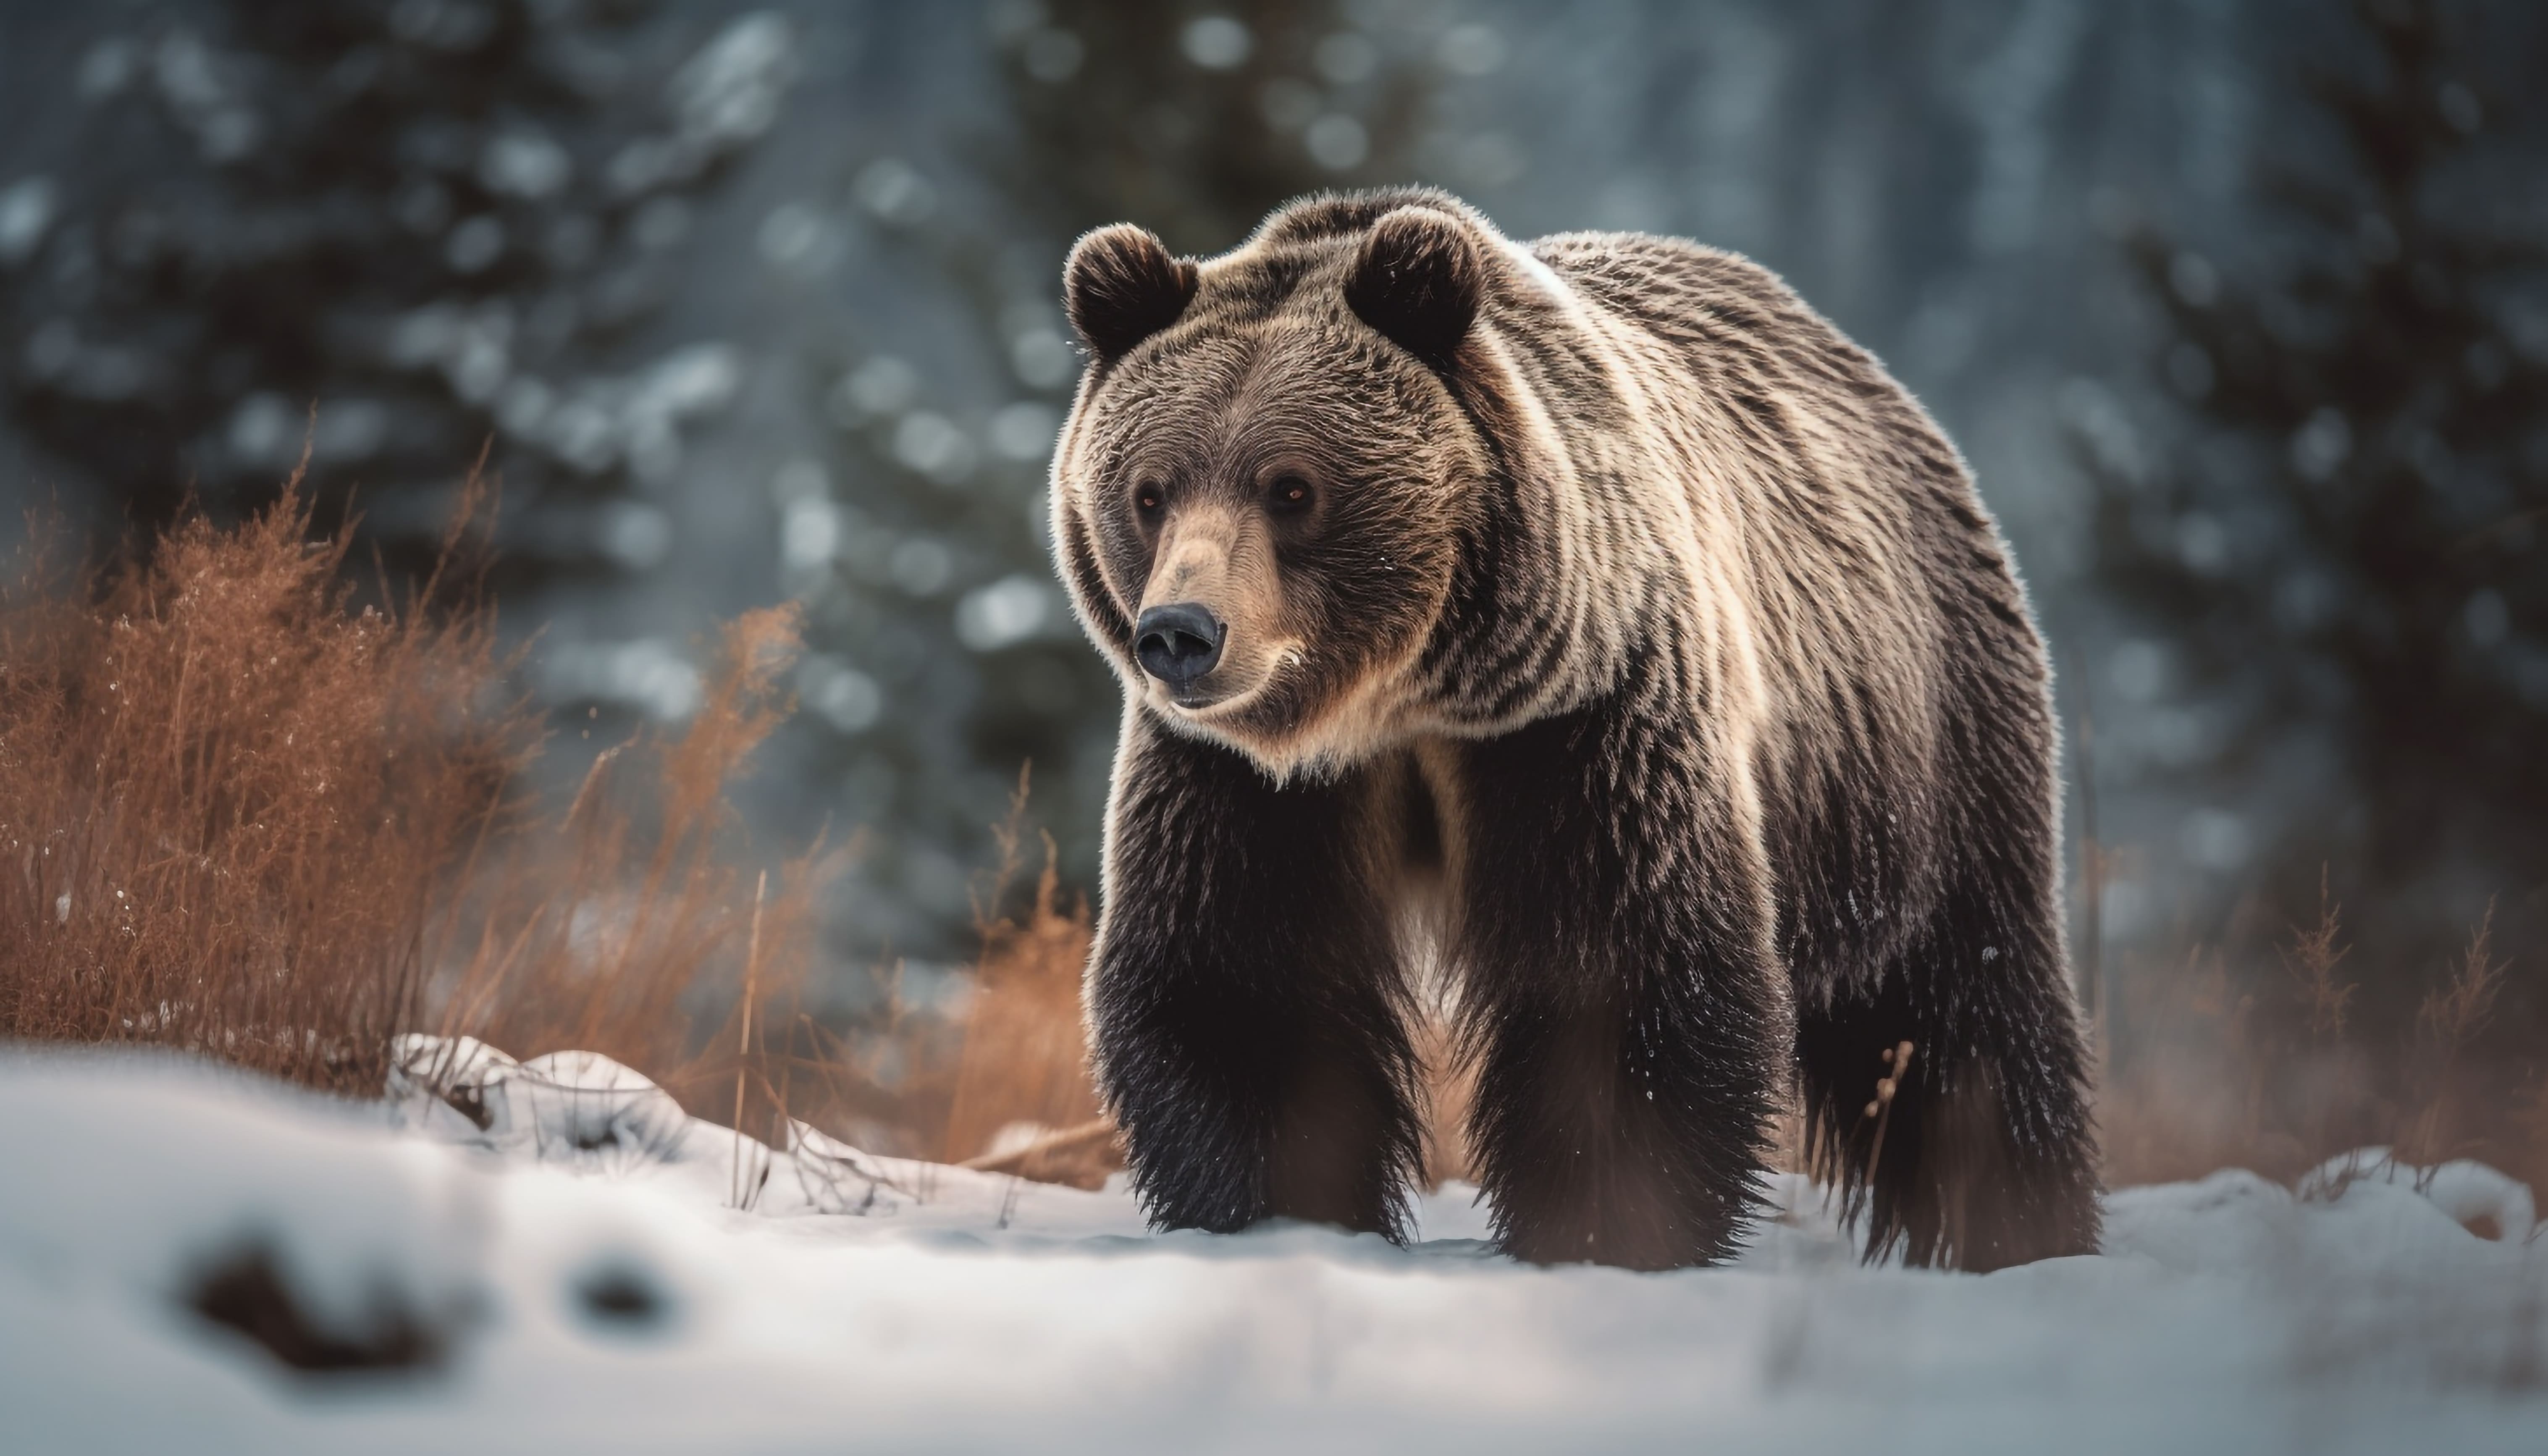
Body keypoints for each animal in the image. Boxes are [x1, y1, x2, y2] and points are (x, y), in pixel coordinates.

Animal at [1048, 187, 2100, 1272]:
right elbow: (1246, 986)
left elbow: (1618, 981)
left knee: (1962, 1000)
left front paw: (1609, 1224)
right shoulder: (1248, 783)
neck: (1403, 697)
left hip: (1916, 744)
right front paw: (1277, 1215)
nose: (1180, 634)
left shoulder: (1583, 720)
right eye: (1149, 490)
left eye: (1292, 485)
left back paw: (2018, 1223)